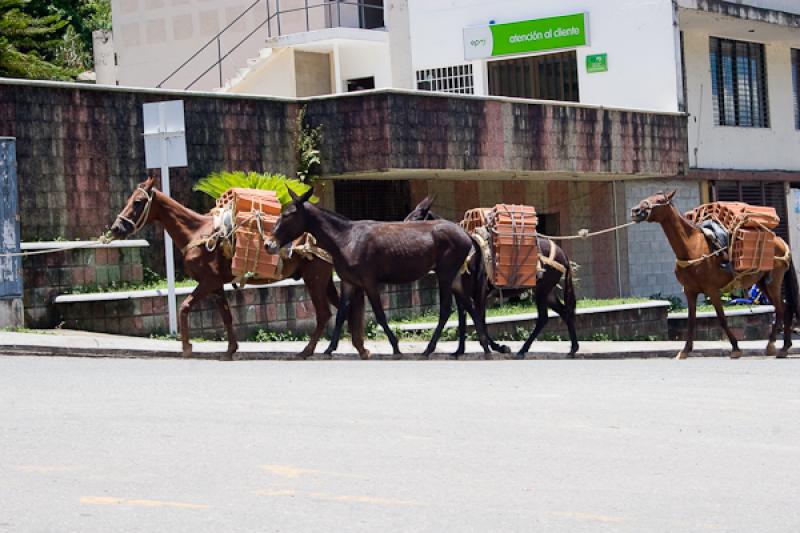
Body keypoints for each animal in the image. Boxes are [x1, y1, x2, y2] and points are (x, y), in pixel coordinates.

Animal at [108, 177, 366, 360]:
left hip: (315, 279)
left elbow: (184, 307)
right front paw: (230, 349)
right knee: (344, 310)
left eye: (138, 202)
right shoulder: (216, 286)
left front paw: (187, 347)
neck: (197, 233)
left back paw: (309, 350)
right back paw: (355, 346)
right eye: (130, 198)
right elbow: (226, 316)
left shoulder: (208, 282)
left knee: (324, 314)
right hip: (324, 280)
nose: (116, 228)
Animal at [266, 187, 490, 358]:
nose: (269, 244)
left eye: (287, 215)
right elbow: (341, 315)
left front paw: (395, 347)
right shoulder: (349, 282)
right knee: (469, 306)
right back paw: (485, 346)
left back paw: (430, 349)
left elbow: (380, 315)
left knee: (446, 309)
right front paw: (330, 349)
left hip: (445, 274)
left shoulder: (368, 281)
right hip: (455, 278)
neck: (345, 239)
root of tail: (466, 234)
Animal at [404, 196, 580, 358]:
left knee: (544, 317)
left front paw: (497, 347)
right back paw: (572, 349)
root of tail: (563, 255)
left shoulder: (480, 293)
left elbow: (479, 320)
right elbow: (463, 320)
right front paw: (460, 351)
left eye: (416, 218)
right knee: (564, 312)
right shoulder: (460, 295)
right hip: (546, 291)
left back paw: (523, 350)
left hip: (542, 290)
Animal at [632, 189, 800, 360]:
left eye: (659, 200)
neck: (691, 247)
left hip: (773, 283)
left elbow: (722, 318)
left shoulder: (712, 290)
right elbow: (691, 320)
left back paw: (777, 346)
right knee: (783, 309)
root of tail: (780, 241)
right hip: (762, 283)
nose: (636, 211)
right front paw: (685, 350)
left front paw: (735, 348)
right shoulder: (690, 291)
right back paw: (780, 346)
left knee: (782, 310)